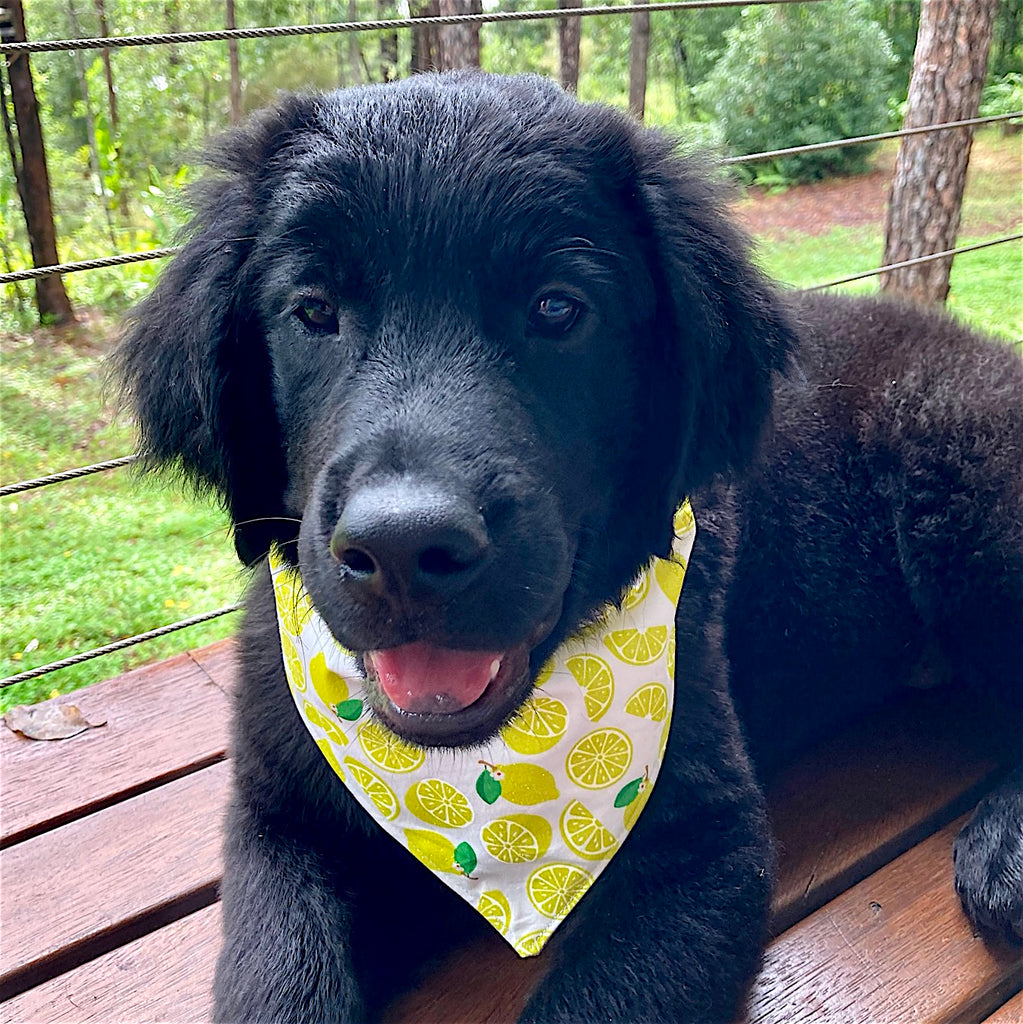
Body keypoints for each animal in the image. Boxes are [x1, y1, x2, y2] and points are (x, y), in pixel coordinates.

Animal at [114, 74, 1023, 1024]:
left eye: (557, 309)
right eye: (313, 312)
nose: (403, 547)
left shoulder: (705, 845)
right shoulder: (276, 823)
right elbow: (279, 978)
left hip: (963, 486)